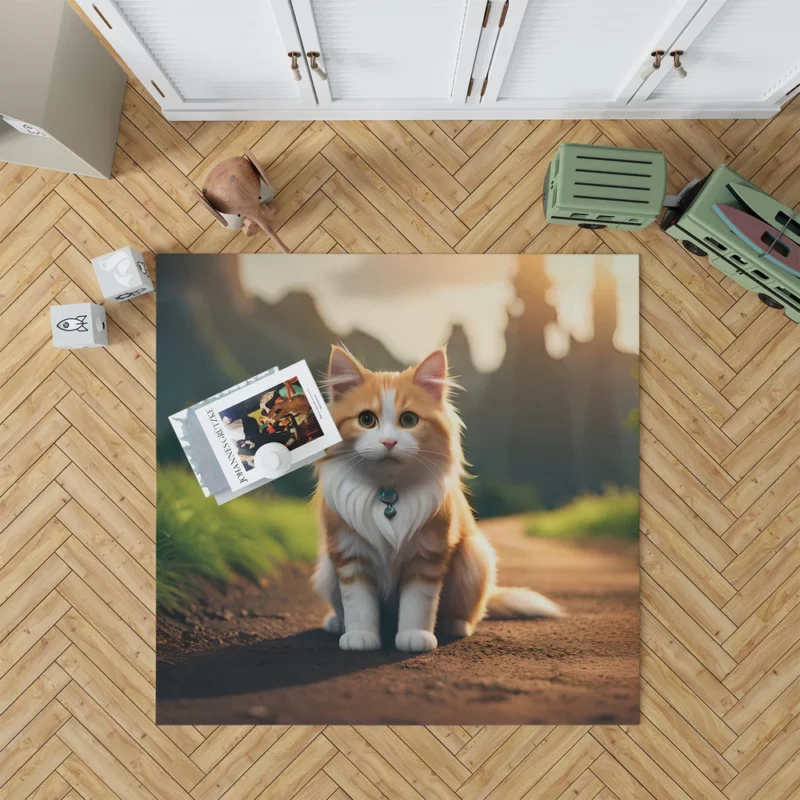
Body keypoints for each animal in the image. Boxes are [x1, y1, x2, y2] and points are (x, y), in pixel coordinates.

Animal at [312, 344, 564, 648]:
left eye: (408, 420)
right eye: (366, 420)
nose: (388, 442)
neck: (388, 491)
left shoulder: (428, 556)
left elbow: (418, 604)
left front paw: (415, 637)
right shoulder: (350, 557)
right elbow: (358, 604)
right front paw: (361, 636)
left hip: (474, 555)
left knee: (469, 612)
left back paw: (456, 626)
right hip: (326, 569)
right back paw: (336, 623)